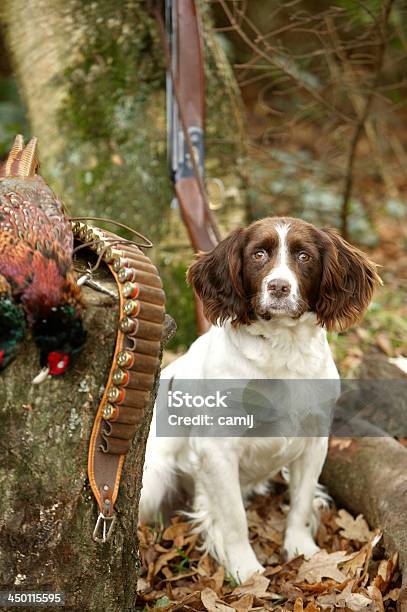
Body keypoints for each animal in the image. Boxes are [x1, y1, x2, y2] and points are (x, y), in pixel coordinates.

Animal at [141, 218, 382, 580]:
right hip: (152, 481)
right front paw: (245, 569)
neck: (282, 350)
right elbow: (234, 519)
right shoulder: (217, 449)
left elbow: (300, 503)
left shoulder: (314, 442)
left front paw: (302, 551)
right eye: (258, 255)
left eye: (304, 256)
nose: (279, 287)